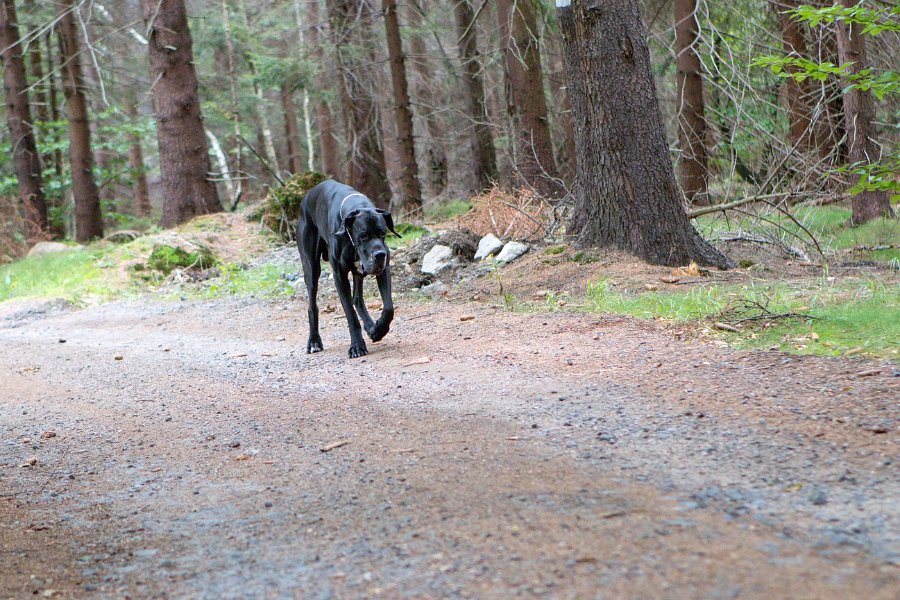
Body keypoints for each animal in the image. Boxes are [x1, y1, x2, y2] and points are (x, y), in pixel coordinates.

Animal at [298, 178, 396, 356]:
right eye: (363, 235)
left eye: (383, 233)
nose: (380, 254)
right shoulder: (339, 275)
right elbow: (350, 314)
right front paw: (357, 346)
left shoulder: (384, 269)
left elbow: (388, 307)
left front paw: (378, 330)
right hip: (311, 268)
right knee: (312, 305)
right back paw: (314, 341)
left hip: (358, 271)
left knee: (357, 299)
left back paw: (371, 327)